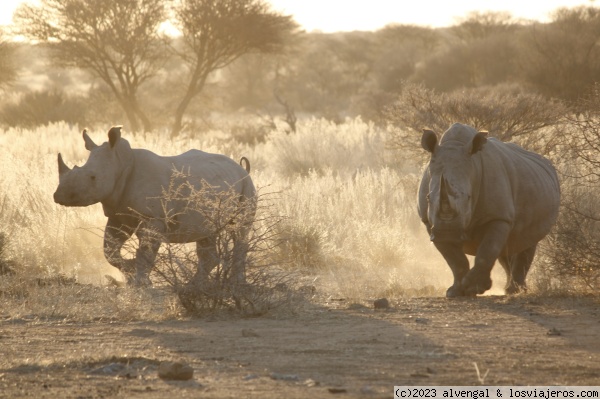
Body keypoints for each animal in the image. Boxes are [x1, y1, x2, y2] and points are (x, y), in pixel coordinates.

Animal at [53, 126, 255, 286]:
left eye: (92, 177)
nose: (59, 196)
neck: (120, 163)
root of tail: (240, 167)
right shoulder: (118, 215)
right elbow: (109, 249)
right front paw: (129, 269)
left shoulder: (153, 217)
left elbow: (146, 250)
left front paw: (141, 282)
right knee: (207, 234)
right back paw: (195, 284)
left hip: (246, 185)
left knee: (240, 231)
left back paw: (237, 283)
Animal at [418, 124, 564, 296]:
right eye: (428, 198)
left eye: (469, 198)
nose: (448, 233)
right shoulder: (429, 223)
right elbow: (454, 259)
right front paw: (456, 292)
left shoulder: (498, 216)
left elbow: (487, 250)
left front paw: (474, 287)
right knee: (507, 248)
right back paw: (510, 289)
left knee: (527, 243)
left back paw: (515, 291)